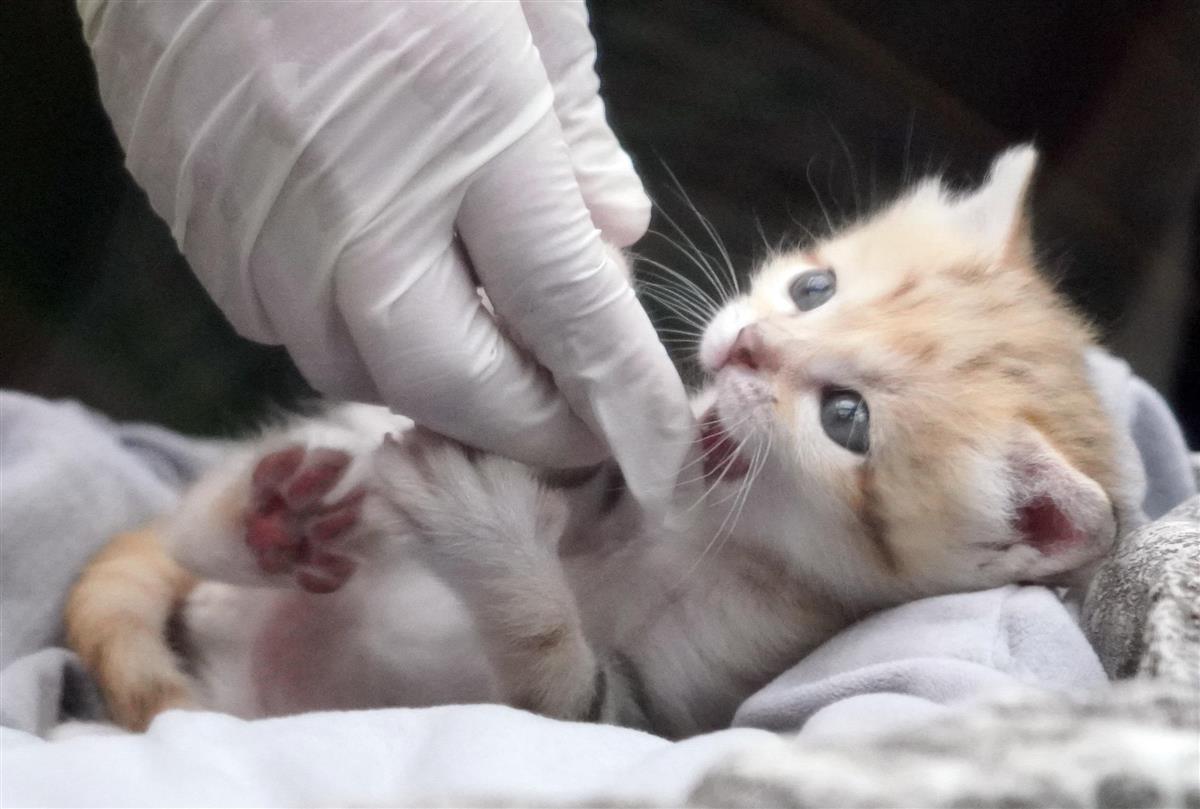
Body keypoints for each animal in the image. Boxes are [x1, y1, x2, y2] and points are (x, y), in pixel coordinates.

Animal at [68, 146, 1142, 739]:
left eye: (846, 418)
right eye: (814, 288)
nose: (747, 346)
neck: (689, 527)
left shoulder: (662, 703)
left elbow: (565, 678)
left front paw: (493, 544)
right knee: (196, 537)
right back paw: (268, 517)